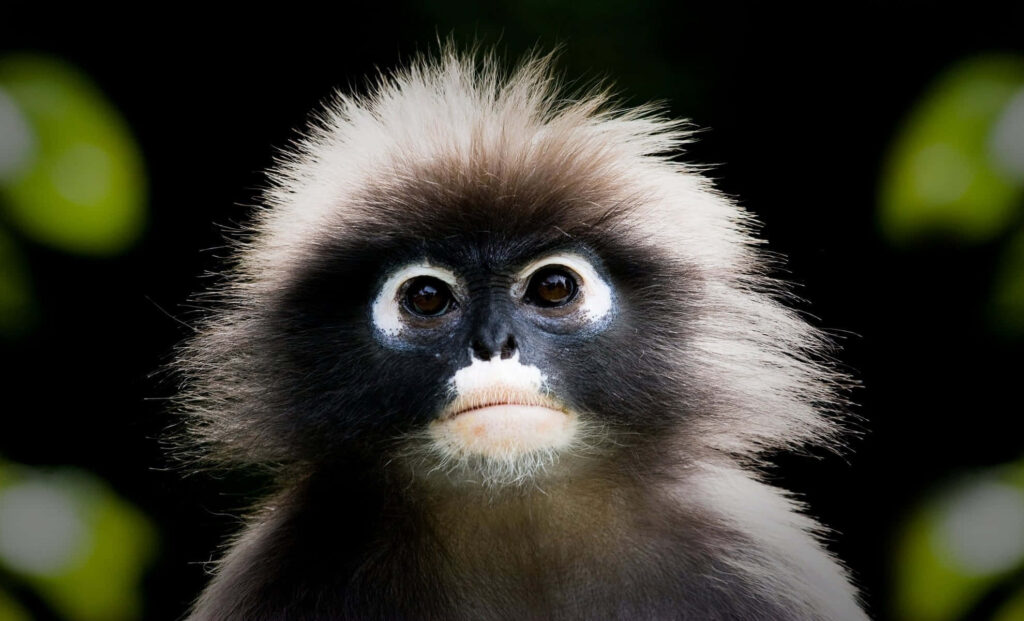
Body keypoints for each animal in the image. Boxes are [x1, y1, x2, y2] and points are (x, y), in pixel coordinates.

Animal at [172, 48, 868, 620]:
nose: (493, 344)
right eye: (427, 297)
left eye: (554, 287)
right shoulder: (279, 572)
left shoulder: (765, 564)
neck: (518, 520)